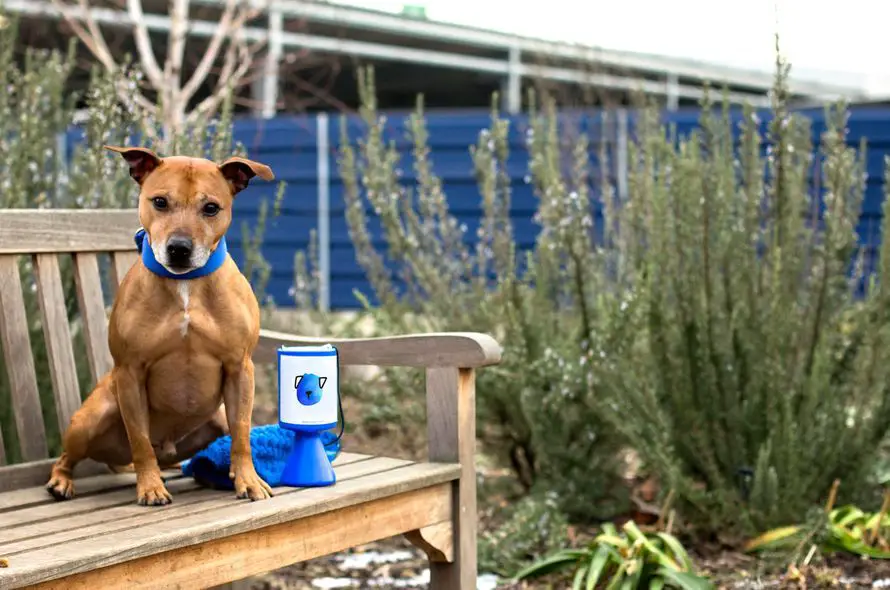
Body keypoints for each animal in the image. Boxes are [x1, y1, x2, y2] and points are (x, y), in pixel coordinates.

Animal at [44, 146, 274, 506]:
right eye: (160, 202)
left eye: (211, 208)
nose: (179, 248)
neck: (185, 285)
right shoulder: (130, 373)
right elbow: (139, 439)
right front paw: (150, 486)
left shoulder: (240, 370)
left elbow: (241, 433)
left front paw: (247, 480)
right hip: (91, 417)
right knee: (70, 456)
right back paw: (62, 481)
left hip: (215, 417)